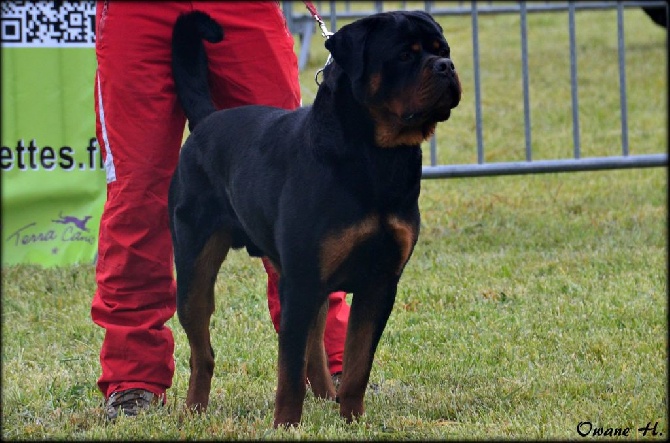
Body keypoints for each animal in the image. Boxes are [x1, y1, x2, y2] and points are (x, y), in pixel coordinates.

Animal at [169, 9, 462, 426]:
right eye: (405, 55)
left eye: (443, 50)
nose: (446, 66)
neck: (375, 157)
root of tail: (207, 121)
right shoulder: (303, 281)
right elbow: (289, 371)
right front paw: (286, 425)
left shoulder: (379, 283)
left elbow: (357, 364)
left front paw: (352, 419)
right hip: (195, 266)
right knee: (202, 352)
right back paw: (194, 410)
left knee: (313, 345)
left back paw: (326, 395)